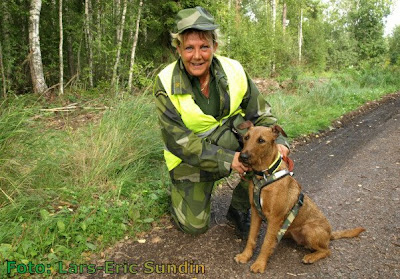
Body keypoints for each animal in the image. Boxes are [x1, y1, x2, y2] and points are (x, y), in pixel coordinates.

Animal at [234, 124, 366, 274]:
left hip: (309, 230)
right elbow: (251, 238)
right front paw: (245, 256)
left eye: (261, 140)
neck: (265, 176)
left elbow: (266, 243)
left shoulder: (275, 218)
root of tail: (329, 234)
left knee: (327, 250)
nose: (242, 156)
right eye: (246, 137)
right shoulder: (256, 212)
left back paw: (311, 256)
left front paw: (260, 263)